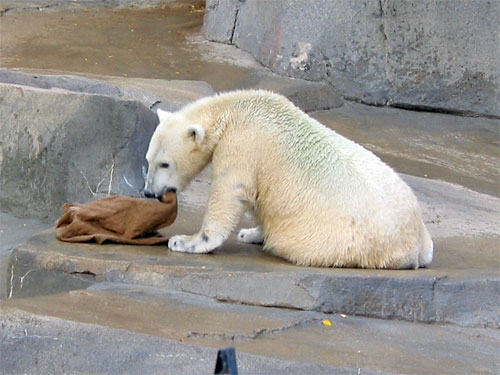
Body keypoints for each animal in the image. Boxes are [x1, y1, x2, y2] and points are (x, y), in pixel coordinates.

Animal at [145, 89, 434, 268]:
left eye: (164, 164)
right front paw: (251, 232)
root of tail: (417, 244)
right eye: (148, 159)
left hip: (342, 240)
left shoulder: (243, 143)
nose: (149, 193)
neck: (235, 109)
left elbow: (230, 191)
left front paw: (185, 241)